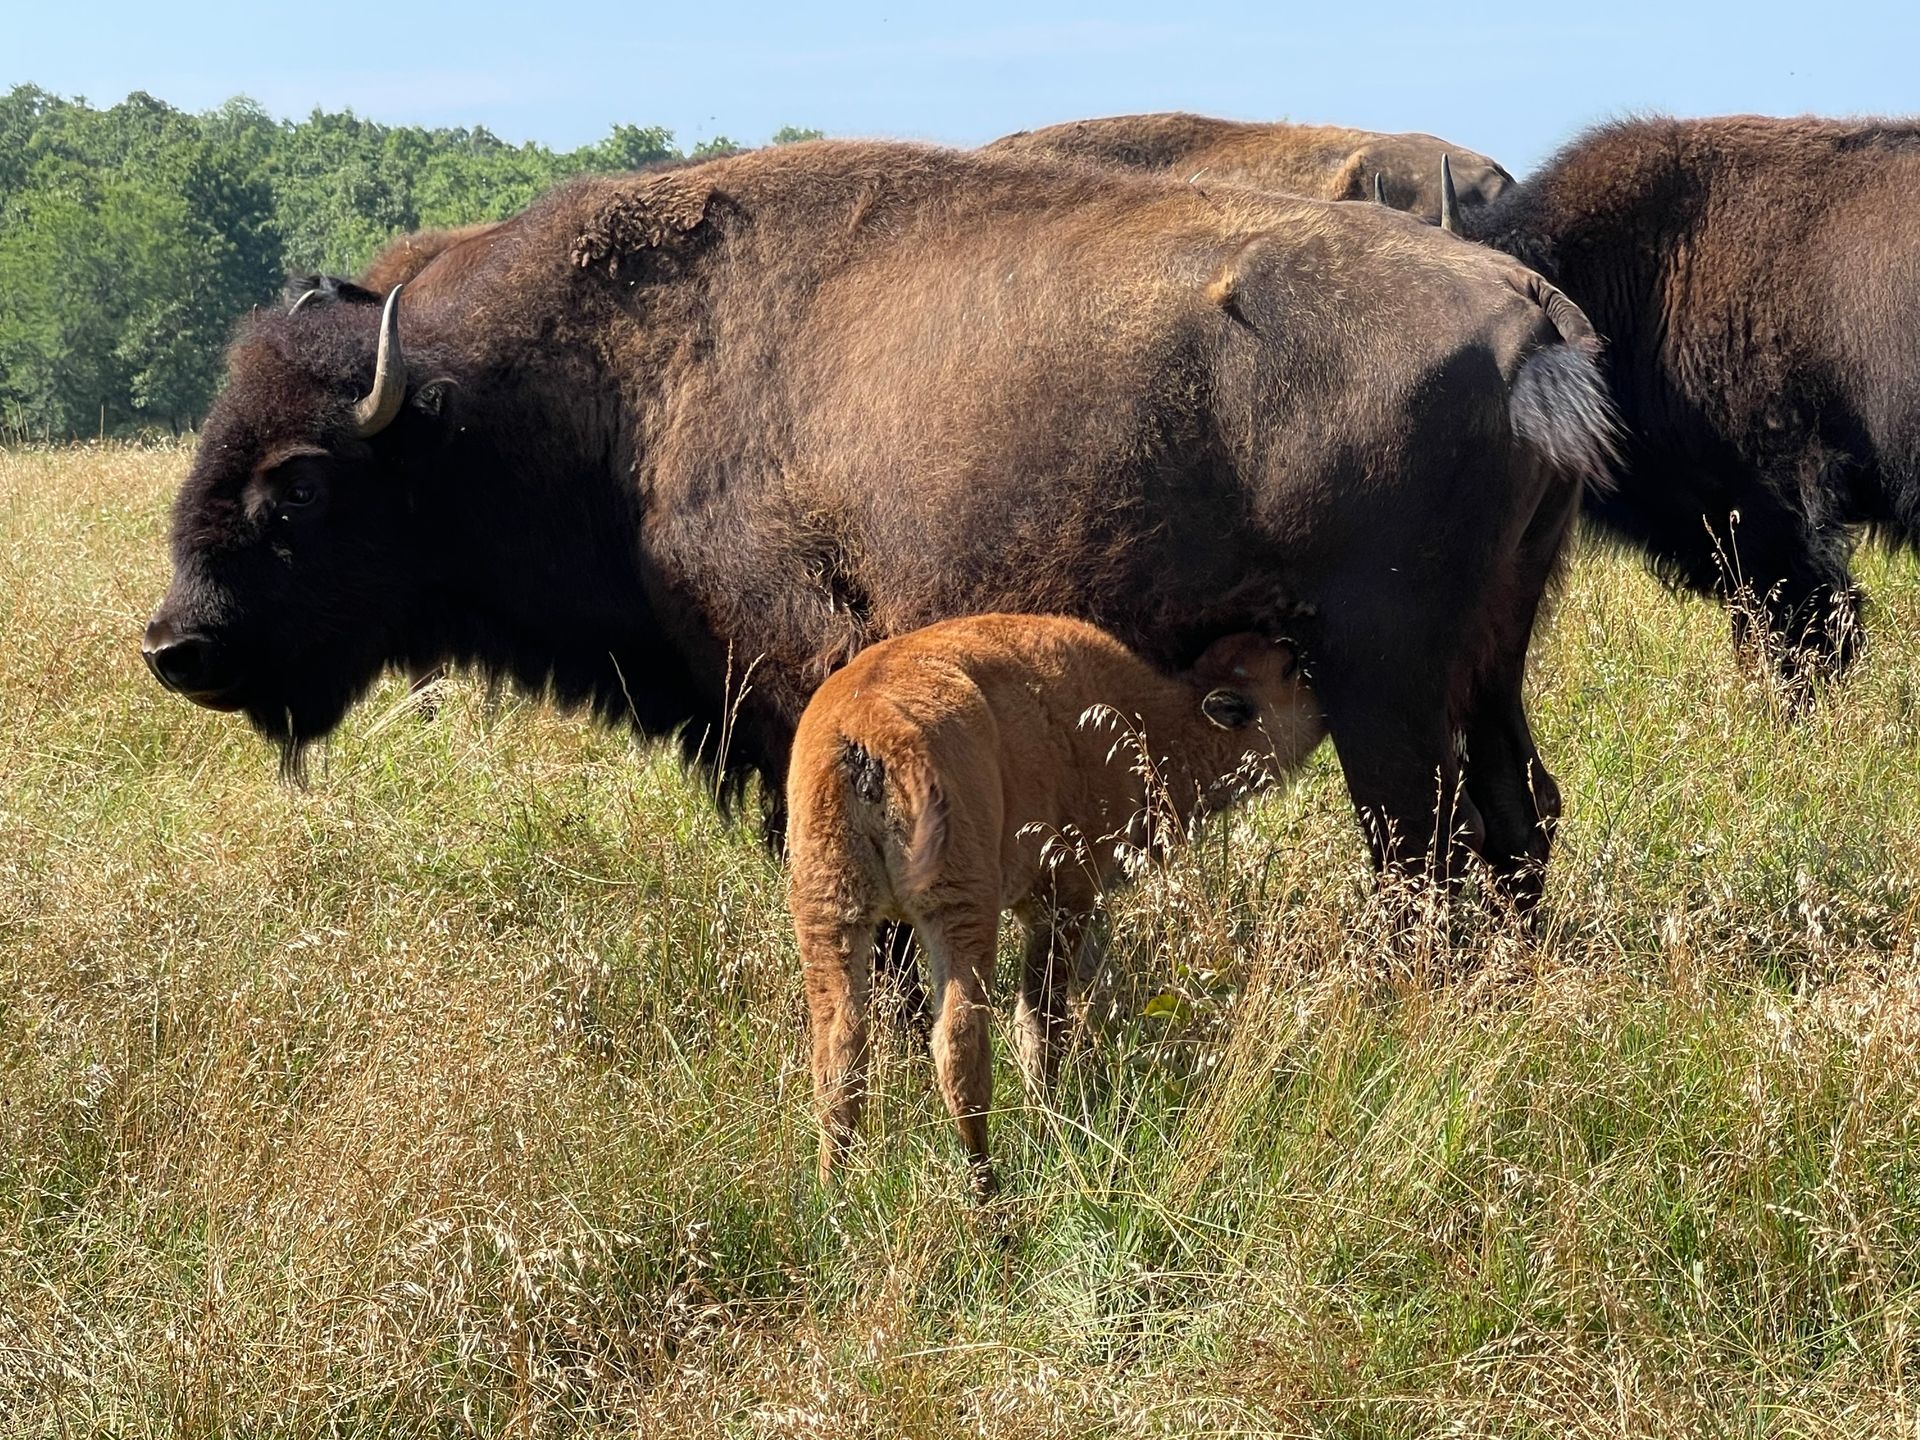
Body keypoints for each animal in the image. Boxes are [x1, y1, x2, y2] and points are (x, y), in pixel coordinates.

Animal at [142, 141, 1620, 902]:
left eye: (299, 481)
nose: (177, 646)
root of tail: (1529, 315)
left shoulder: (794, 685)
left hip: (1386, 682)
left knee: (1424, 852)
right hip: (1492, 663)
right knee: (1517, 820)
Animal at [787, 614, 1328, 1198]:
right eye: (1290, 668)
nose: (1326, 703)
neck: (1145, 715)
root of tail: (867, 727)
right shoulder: (1061, 898)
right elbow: (1043, 1020)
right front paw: (1052, 1121)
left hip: (830, 918)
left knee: (839, 1058)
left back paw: (832, 1194)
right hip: (959, 913)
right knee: (959, 1046)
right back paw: (987, 1192)